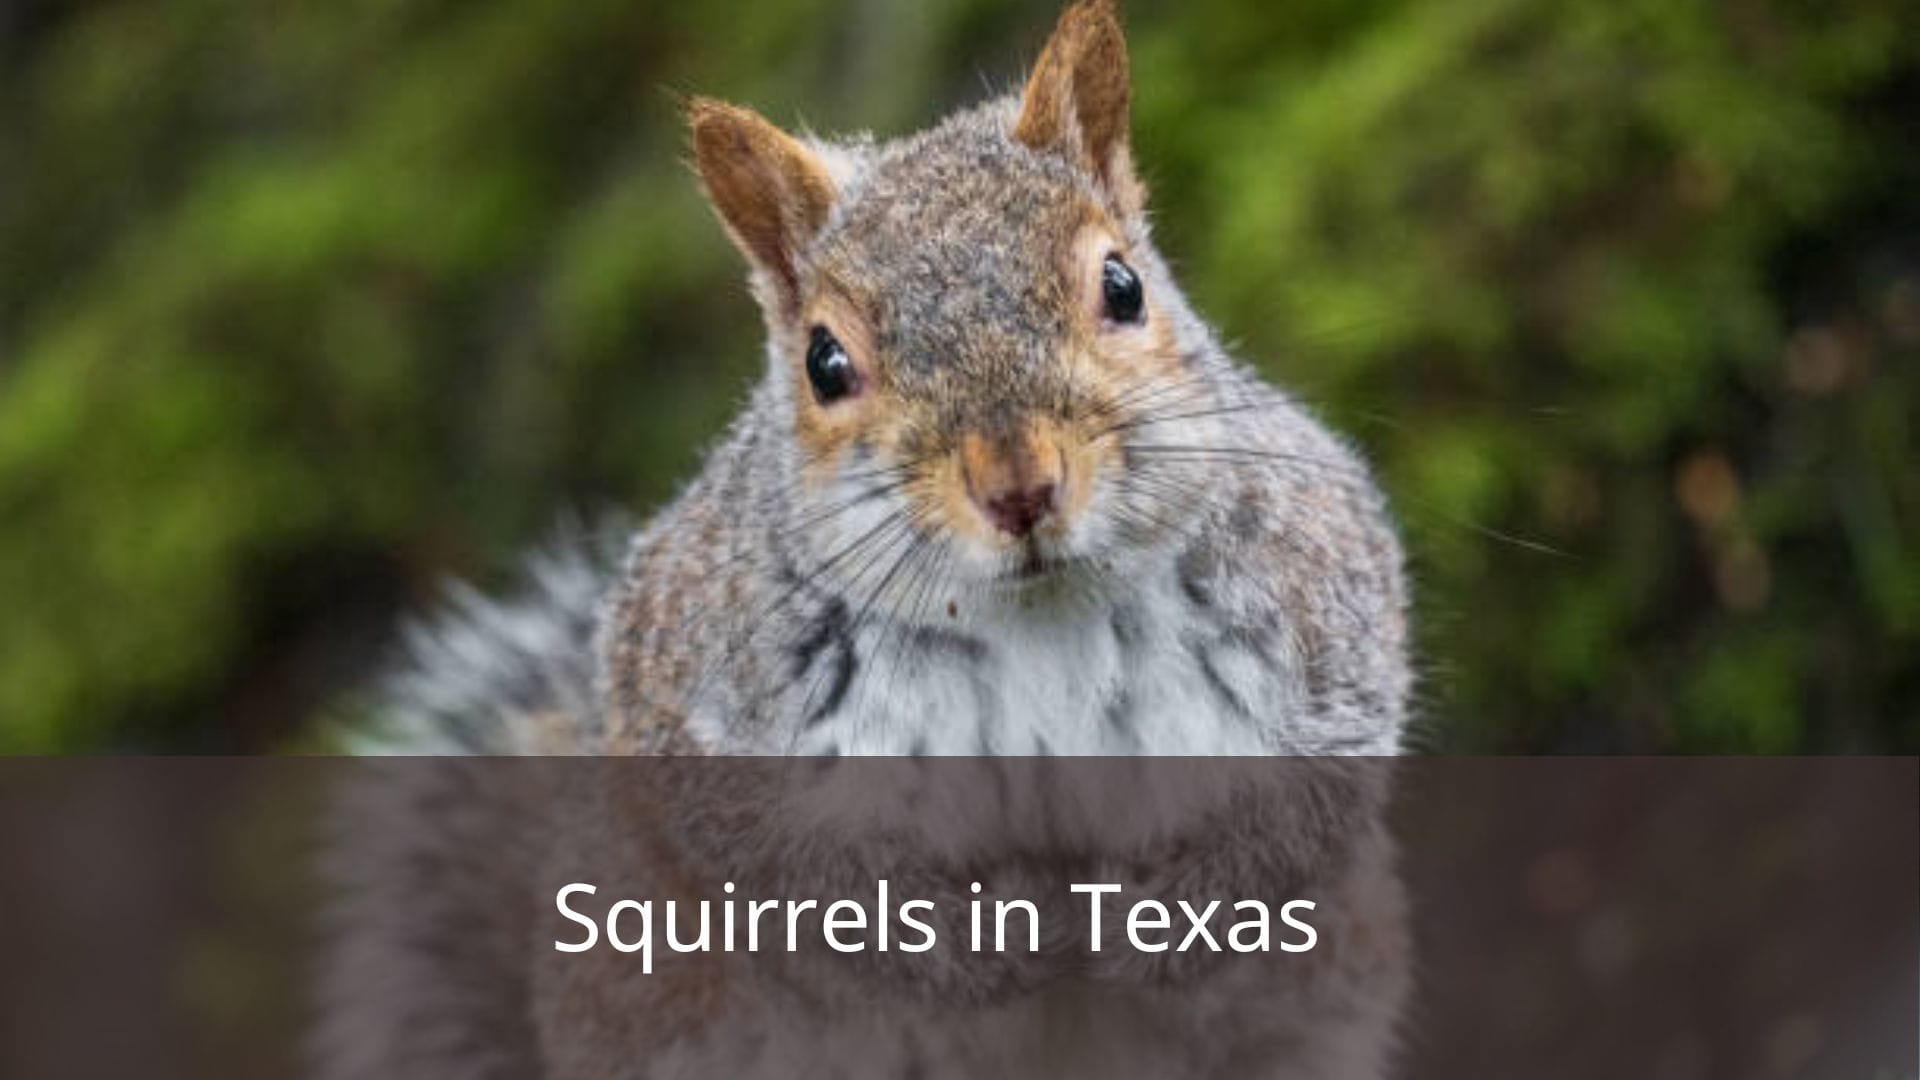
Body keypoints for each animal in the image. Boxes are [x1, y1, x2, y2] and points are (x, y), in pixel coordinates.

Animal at [320, 2, 1412, 1076]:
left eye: (1123, 285)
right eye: (824, 361)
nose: (1020, 486)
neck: (1037, 615)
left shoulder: (1321, 585)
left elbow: (1314, 788)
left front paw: (1169, 911)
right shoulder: (697, 686)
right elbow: (787, 874)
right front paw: (980, 940)